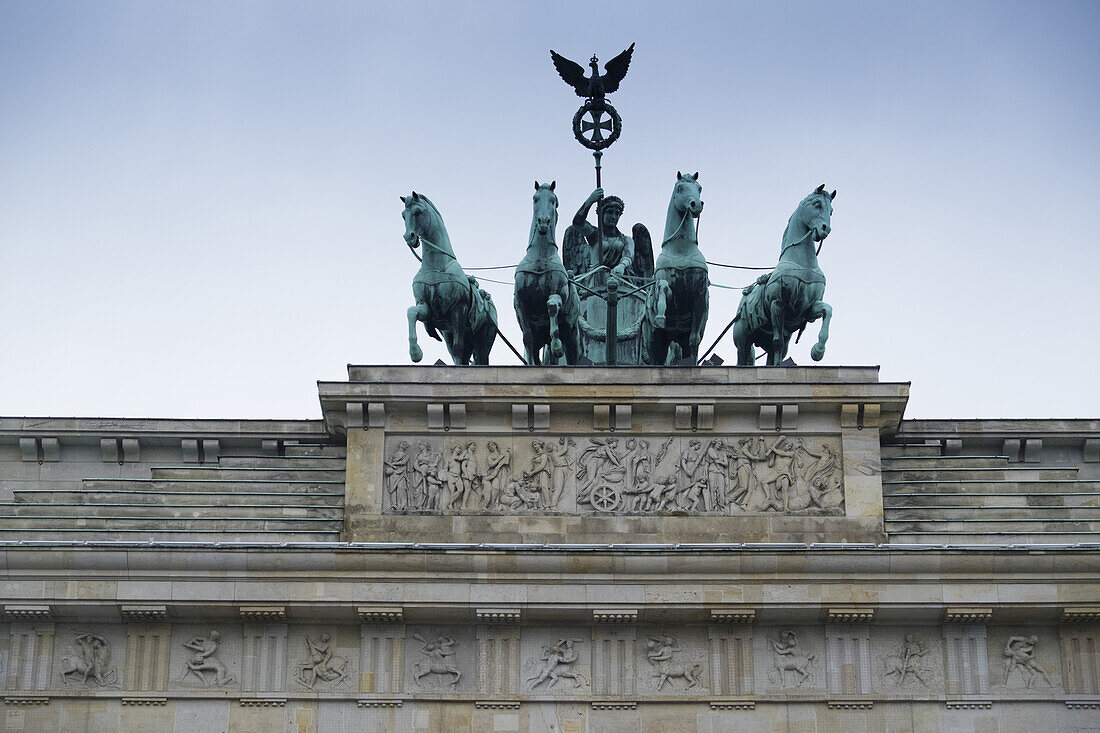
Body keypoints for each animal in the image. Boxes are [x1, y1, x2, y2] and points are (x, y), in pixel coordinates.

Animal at [402, 191, 497, 365]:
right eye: (403, 215)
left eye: (417, 212)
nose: (409, 237)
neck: (436, 265)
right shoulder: (428, 308)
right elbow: (411, 312)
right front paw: (415, 353)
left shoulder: (458, 309)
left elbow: (458, 348)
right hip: (451, 335)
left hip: (483, 339)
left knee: (478, 356)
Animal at [514, 179, 585, 363]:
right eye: (535, 199)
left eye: (554, 201)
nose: (543, 222)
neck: (540, 257)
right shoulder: (520, 302)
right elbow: (527, 338)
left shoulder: (557, 293)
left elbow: (552, 306)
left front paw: (557, 346)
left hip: (572, 335)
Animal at [642, 171, 708, 365]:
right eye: (680, 187)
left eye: (699, 188)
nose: (696, 205)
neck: (681, 250)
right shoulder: (666, 286)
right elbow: (663, 288)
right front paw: (660, 316)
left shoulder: (700, 295)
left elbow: (694, 340)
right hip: (655, 342)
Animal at [734, 182, 836, 365]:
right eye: (817, 204)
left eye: (831, 211)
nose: (825, 229)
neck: (801, 263)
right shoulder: (778, 304)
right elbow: (778, 342)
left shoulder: (808, 308)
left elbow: (828, 310)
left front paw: (818, 351)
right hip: (742, 339)